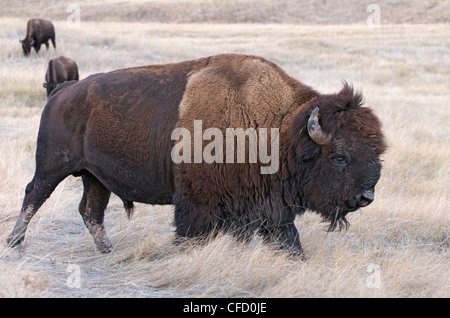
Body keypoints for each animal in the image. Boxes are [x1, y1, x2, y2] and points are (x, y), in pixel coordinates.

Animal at [6, 53, 386, 258]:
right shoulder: (197, 204)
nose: (366, 197)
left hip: (95, 177)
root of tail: (63, 90)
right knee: (34, 195)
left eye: (377, 153)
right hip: (53, 166)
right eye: (339, 157)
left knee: (90, 211)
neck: (280, 130)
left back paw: (109, 251)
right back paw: (14, 244)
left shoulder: (269, 210)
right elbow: (191, 234)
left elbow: (289, 242)